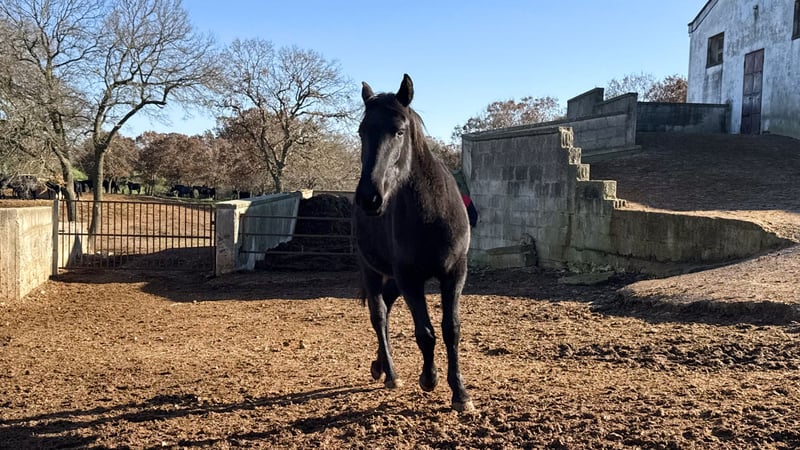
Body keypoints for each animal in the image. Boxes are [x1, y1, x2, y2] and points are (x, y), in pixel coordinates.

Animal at [353, 74, 474, 412]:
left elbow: (451, 330)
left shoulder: (454, 274)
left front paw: (460, 393)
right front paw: (429, 378)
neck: (431, 215)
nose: (369, 197)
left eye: (399, 131)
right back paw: (391, 374)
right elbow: (425, 333)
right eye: (361, 131)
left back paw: (380, 366)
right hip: (371, 269)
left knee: (387, 304)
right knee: (379, 315)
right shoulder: (410, 278)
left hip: (394, 278)